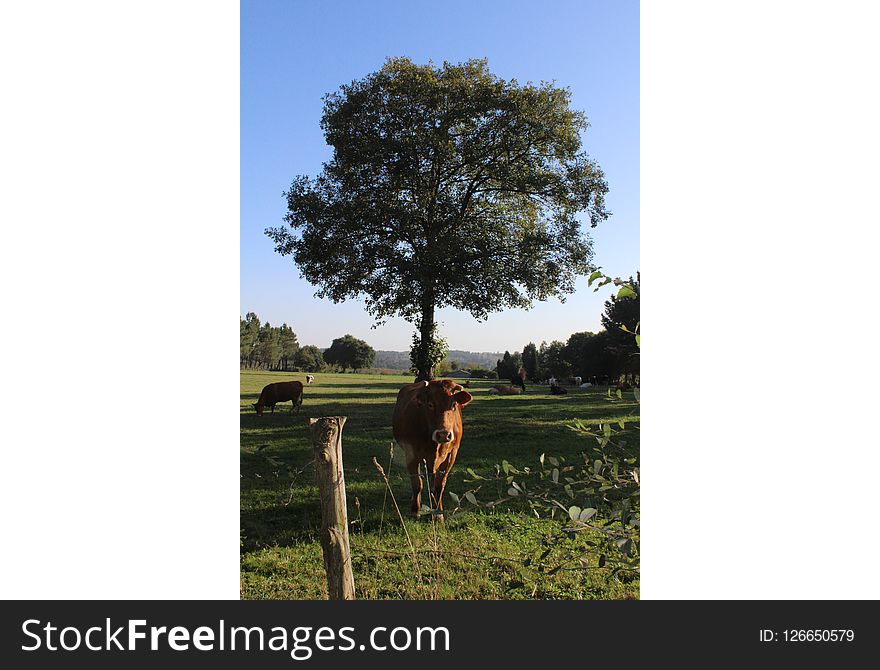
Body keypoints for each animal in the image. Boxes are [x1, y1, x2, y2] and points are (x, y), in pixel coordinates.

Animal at [394, 380, 474, 516]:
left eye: (453, 404)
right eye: (430, 404)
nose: (443, 434)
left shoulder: (452, 454)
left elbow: (439, 485)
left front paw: (438, 511)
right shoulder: (410, 454)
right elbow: (417, 484)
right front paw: (415, 510)